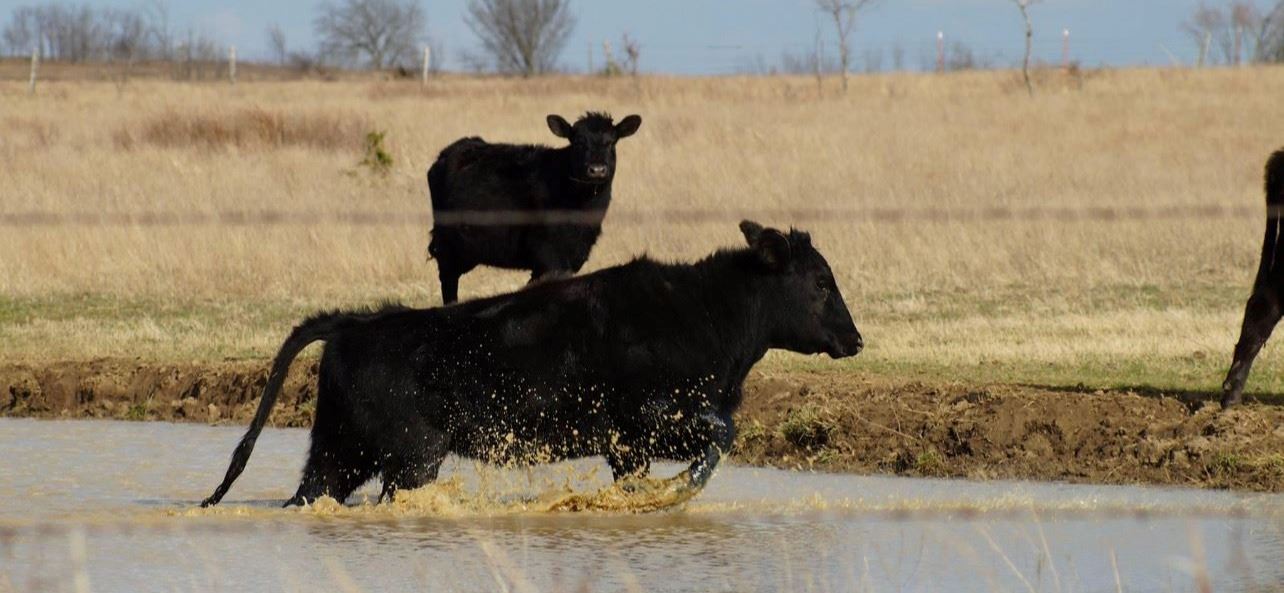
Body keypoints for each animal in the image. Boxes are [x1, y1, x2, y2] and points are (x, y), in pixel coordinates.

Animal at [200, 221, 863, 508]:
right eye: (821, 281)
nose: (856, 339)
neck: (706, 312)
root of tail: (356, 322)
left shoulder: (630, 445)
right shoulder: (651, 418)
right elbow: (722, 436)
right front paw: (677, 491)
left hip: (342, 450)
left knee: (309, 494)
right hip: (410, 458)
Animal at [427, 112, 642, 304]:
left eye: (612, 142)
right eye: (579, 142)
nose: (597, 170)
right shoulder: (549, 258)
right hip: (448, 246)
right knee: (448, 281)